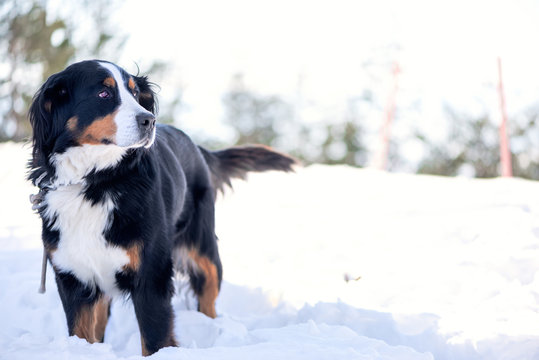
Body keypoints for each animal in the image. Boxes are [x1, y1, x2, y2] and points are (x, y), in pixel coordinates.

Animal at [28, 60, 296, 356]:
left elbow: (155, 338)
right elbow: (82, 333)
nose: (149, 120)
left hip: (203, 249)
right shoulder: (74, 275)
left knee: (208, 294)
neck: (96, 181)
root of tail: (197, 147)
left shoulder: (151, 274)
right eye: (104, 93)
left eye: (135, 93)